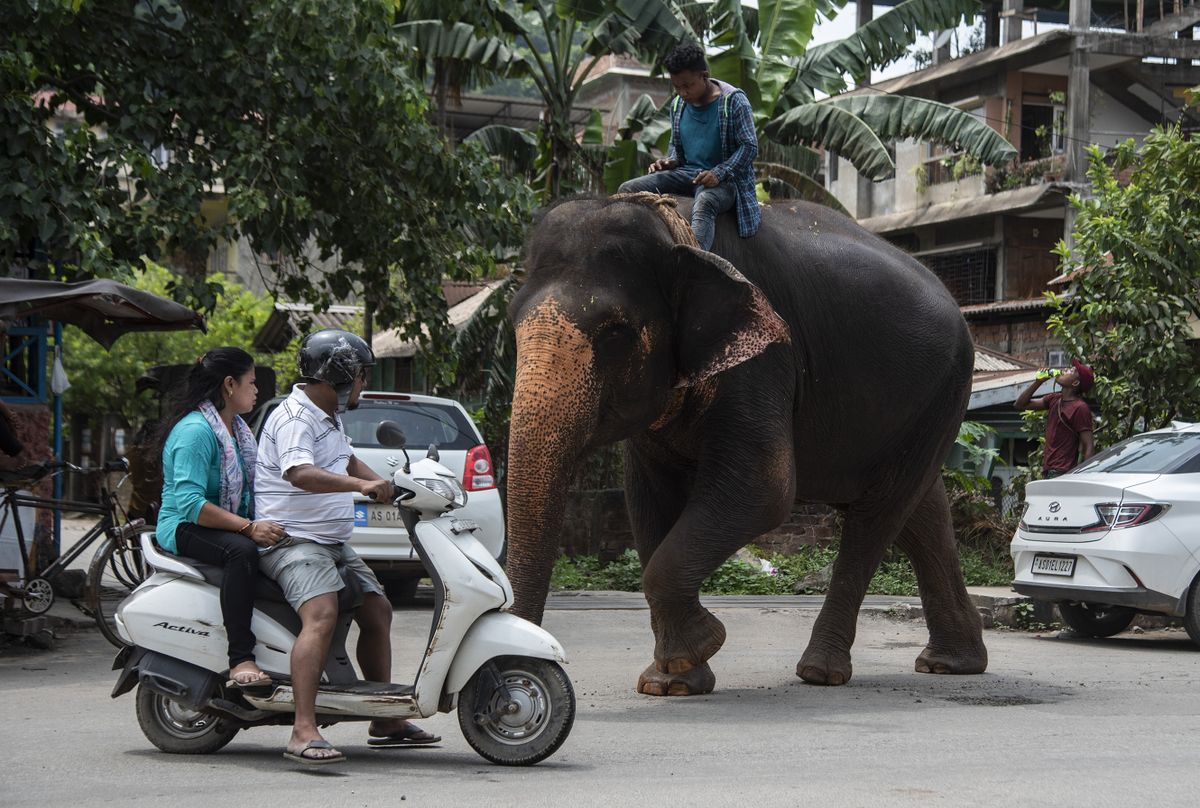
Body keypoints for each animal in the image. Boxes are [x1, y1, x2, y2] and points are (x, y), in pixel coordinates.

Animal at [504, 192, 984, 696]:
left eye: (616, 332)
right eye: (511, 323)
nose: (514, 675)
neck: (675, 235)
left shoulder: (765, 356)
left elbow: (763, 489)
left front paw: (700, 647)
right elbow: (648, 501)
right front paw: (672, 683)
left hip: (946, 388)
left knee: (879, 514)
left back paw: (821, 673)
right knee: (920, 509)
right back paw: (951, 663)